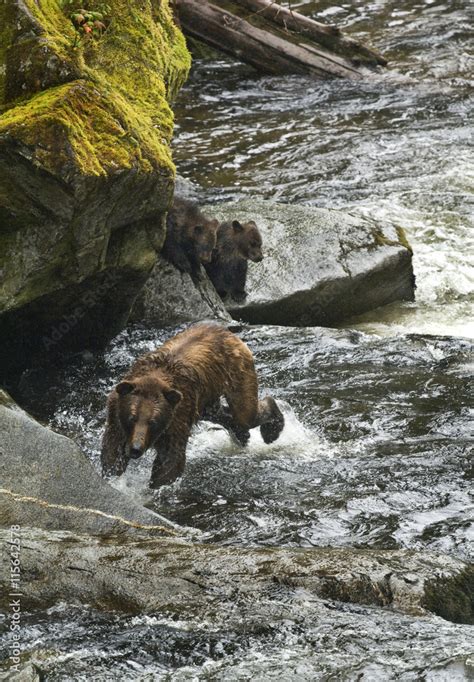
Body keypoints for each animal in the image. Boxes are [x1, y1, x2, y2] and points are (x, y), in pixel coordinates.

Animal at [100, 322, 284, 486]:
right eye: (132, 418)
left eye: (153, 421)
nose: (136, 448)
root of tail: (225, 331)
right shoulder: (116, 416)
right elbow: (113, 450)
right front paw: (113, 476)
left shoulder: (176, 417)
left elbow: (170, 460)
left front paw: (156, 486)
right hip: (206, 397)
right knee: (223, 415)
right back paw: (242, 435)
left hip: (236, 372)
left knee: (244, 413)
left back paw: (271, 430)